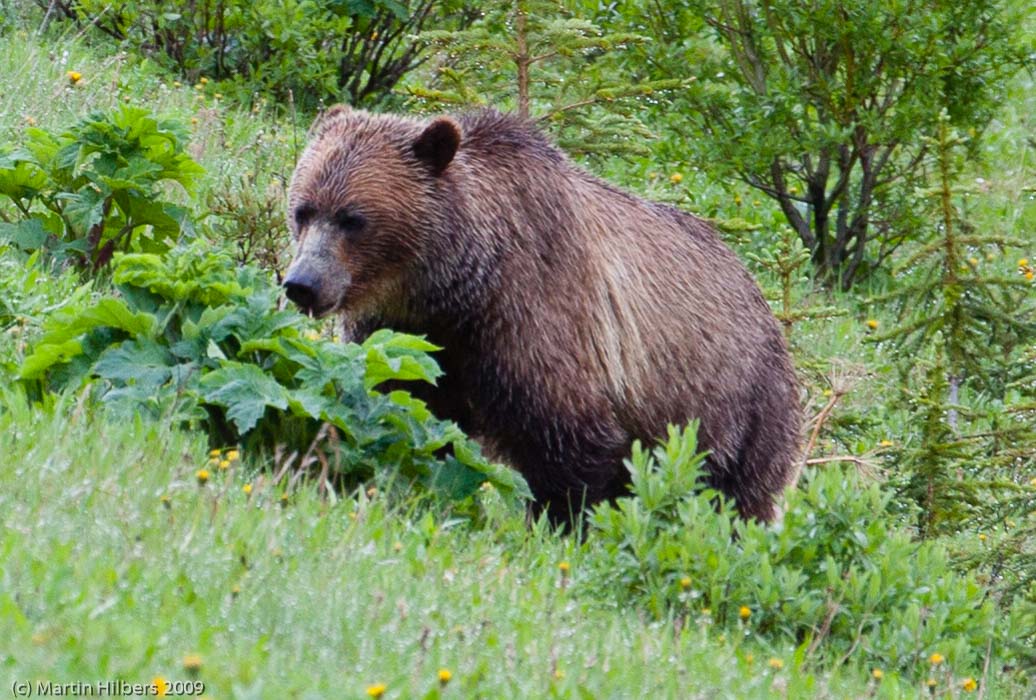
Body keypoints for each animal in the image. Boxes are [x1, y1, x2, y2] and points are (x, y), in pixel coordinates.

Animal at [282, 106, 802, 524]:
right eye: (303, 210)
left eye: (353, 218)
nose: (303, 283)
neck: (455, 288)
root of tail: (762, 298)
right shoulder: (409, 334)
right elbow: (407, 406)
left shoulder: (537, 316)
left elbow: (566, 438)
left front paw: (562, 522)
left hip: (737, 405)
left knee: (734, 495)